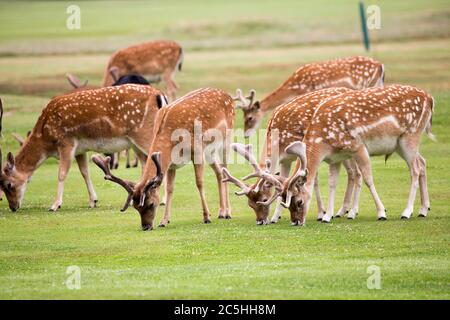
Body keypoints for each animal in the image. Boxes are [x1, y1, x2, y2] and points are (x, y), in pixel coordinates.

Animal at [0, 84, 168, 211]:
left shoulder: (66, 142)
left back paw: (162, 200)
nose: (13, 207)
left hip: (144, 133)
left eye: (9, 185)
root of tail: (159, 94)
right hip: (135, 142)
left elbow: (62, 174)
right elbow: (84, 172)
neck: (45, 139)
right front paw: (93, 201)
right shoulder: (80, 150)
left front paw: (55, 205)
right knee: (146, 164)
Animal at [93, 88, 237, 230]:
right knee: (219, 172)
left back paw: (228, 213)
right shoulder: (172, 164)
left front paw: (206, 217)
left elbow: (199, 183)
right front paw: (164, 221)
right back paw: (221, 212)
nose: (146, 227)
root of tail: (229, 96)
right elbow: (169, 189)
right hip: (209, 151)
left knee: (225, 170)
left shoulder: (197, 151)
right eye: (135, 206)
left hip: (227, 138)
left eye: (150, 204)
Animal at [223, 86, 364, 224]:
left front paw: (320, 213)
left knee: (357, 172)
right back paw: (342, 211)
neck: (278, 142)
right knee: (351, 172)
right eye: (250, 204)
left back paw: (352, 212)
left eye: (263, 200)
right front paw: (275, 217)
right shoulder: (285, 160)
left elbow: (313, 181)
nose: (260, 221)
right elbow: (283, 183)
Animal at [268, 84, 436, 225]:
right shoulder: (334, 159)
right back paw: (423, 210)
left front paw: (381, 213)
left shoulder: (358, 146)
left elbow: (368, 178)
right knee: (422, 162)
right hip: (399, 144)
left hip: (411, 135)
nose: (296, 222)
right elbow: (332, 183)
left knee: (415, 170)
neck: (323, 143)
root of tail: (430, 98)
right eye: (285, 201)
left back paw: (406, 212)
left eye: (299, 202)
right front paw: (327, 216)